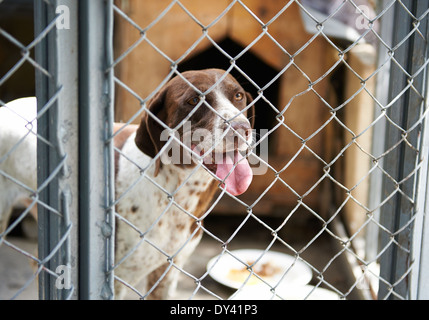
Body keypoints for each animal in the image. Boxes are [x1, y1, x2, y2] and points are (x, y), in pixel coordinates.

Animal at [0, 69, 254, 298]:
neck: (174, 194)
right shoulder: (117, 280)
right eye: (193, 100)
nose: (241, 129)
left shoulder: (168, 272)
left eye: (238, 95)